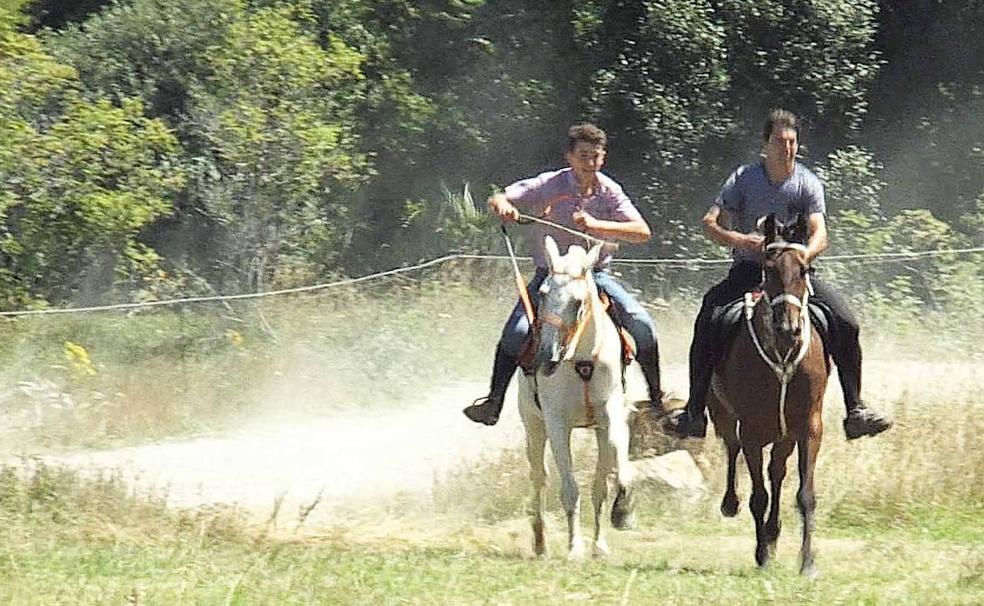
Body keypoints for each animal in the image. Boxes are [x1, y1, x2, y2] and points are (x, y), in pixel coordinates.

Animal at [520, 236, 636, 560]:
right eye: (543, 294)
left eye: (577, 302)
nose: (546, 358)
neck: (583, 360)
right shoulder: (557, 424)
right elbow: (570, 489)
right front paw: (574, 548)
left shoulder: (610, 418)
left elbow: (610, 477)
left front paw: (621, 514)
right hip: (533, 426)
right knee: (539, 478)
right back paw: (540, 543)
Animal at [708, 215, 832, 580]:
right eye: (769, 268)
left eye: (803, 269)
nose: (789, 328)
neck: (783, 355)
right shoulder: (750, 431)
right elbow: (758, 496)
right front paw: (761, 553)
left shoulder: (809, 429)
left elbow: (805, 495)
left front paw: (808, 562)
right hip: (725, 417)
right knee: (732, 448)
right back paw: (732, 505)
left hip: (783, 435)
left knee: (777, 472)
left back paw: (773, 533)